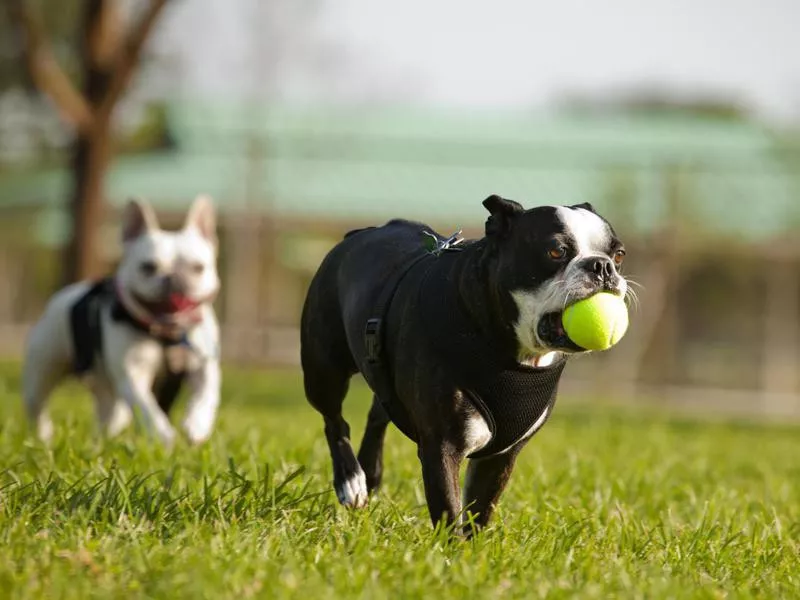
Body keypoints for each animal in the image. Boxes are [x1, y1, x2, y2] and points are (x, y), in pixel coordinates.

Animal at [23, 196, 222, 446]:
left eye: (198, 268)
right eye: (148, 267)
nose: (173, 278)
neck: (166, 332)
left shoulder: (203, 366)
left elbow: (205, 395)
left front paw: (196, 425)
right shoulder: (132, 376)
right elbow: (147, 408)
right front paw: (162, 436)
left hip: (108, 392)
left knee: (111, 416)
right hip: (44, 369)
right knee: (38, 405)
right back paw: (45, 436)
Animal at [298, 195, 624, 532]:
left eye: (619, 255)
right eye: (556, 251)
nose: (602, 266)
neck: (515, 356)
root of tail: (359, 233)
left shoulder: (501, 457)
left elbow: (480, 510)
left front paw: (475, 545)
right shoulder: (442, 446)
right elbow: (449, 511)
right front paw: (450, 545)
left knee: (378, 411)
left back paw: (369, 474)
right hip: (324, 367)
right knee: (334, 420)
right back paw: (351, 480)